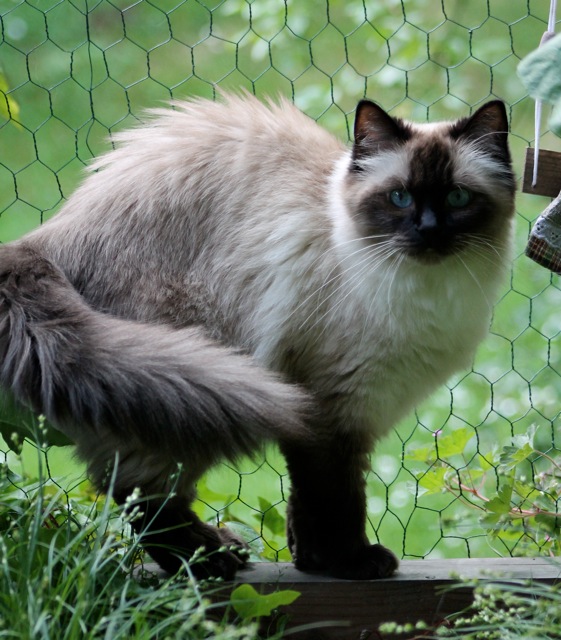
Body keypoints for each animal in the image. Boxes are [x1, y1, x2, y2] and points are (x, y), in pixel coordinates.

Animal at [0, 94, 516, 580]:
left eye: (457, 199)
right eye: (400, 199)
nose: (429, 232)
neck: (426, 290)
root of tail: (42, 241)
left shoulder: (345, 414)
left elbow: (304, 505)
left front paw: (310, 562)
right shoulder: (331, 411)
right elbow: (336, 499)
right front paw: (351, 563)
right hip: (190, 390)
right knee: (140, 495)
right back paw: (209, 560)